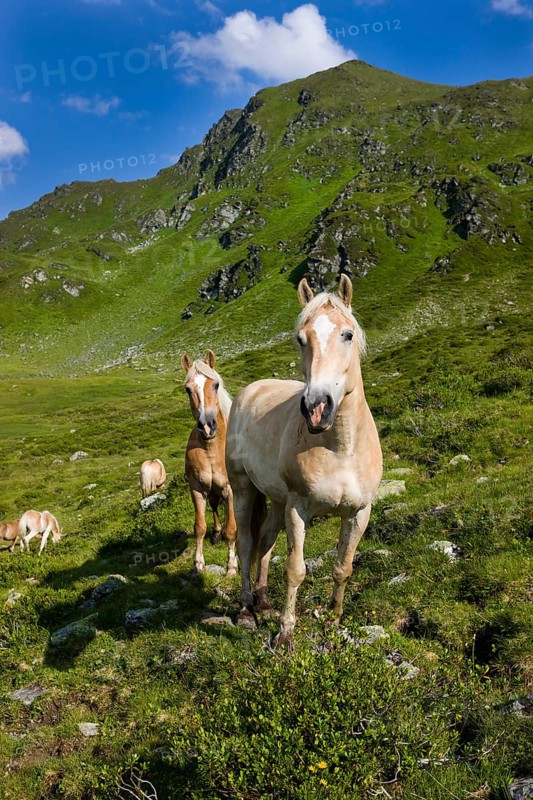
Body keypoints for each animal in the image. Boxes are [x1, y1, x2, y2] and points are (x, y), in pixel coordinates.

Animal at [226, 275, 383, 647]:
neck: (342, 448)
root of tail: (251, 389)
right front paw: (285, 633)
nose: (316, 407)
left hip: (277, 500)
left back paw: (263, 600)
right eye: (301, 338)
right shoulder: (298, 508)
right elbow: (295, 569)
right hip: (244, 488)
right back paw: (246, 609)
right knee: (247, 543)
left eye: (348, 334)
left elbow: (343, 566)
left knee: (266, 540)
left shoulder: (359, 513)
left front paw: (334, 617)